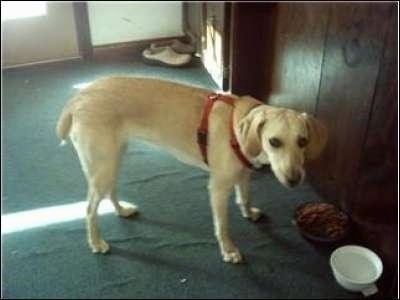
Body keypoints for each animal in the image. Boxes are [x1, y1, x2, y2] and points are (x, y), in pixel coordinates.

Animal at [56, 77, 326, 262]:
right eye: (274, 142)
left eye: (303, 141)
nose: (294, 179)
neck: (237, 127)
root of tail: (78, 98)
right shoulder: (218, 188)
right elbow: (222, 226)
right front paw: (228, 250)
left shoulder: (243, 175)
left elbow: (245, 198)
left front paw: (248, 213)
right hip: (103, 166)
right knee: (89, 209)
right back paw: (96, 242)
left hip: (113, 160)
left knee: (110, 192)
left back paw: (122, 210)